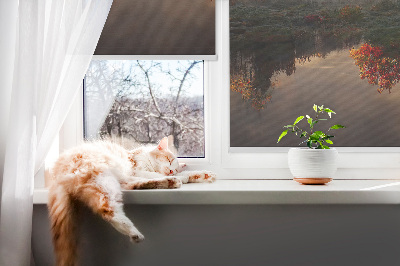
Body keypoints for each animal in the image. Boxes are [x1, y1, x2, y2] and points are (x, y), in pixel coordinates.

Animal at [47, 137, 216, 266]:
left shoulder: (135, 174)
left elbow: (185, 174)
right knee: (107, 209)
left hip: (114, 181)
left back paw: (170, 182)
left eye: (174, 166)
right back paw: (134, 232)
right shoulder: (137, 169)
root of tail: (56, 172)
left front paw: (203, 175)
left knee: (134, 186)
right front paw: (182, 176)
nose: (171, 171)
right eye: (169, 160)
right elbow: (153, 174)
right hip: (103, 178)